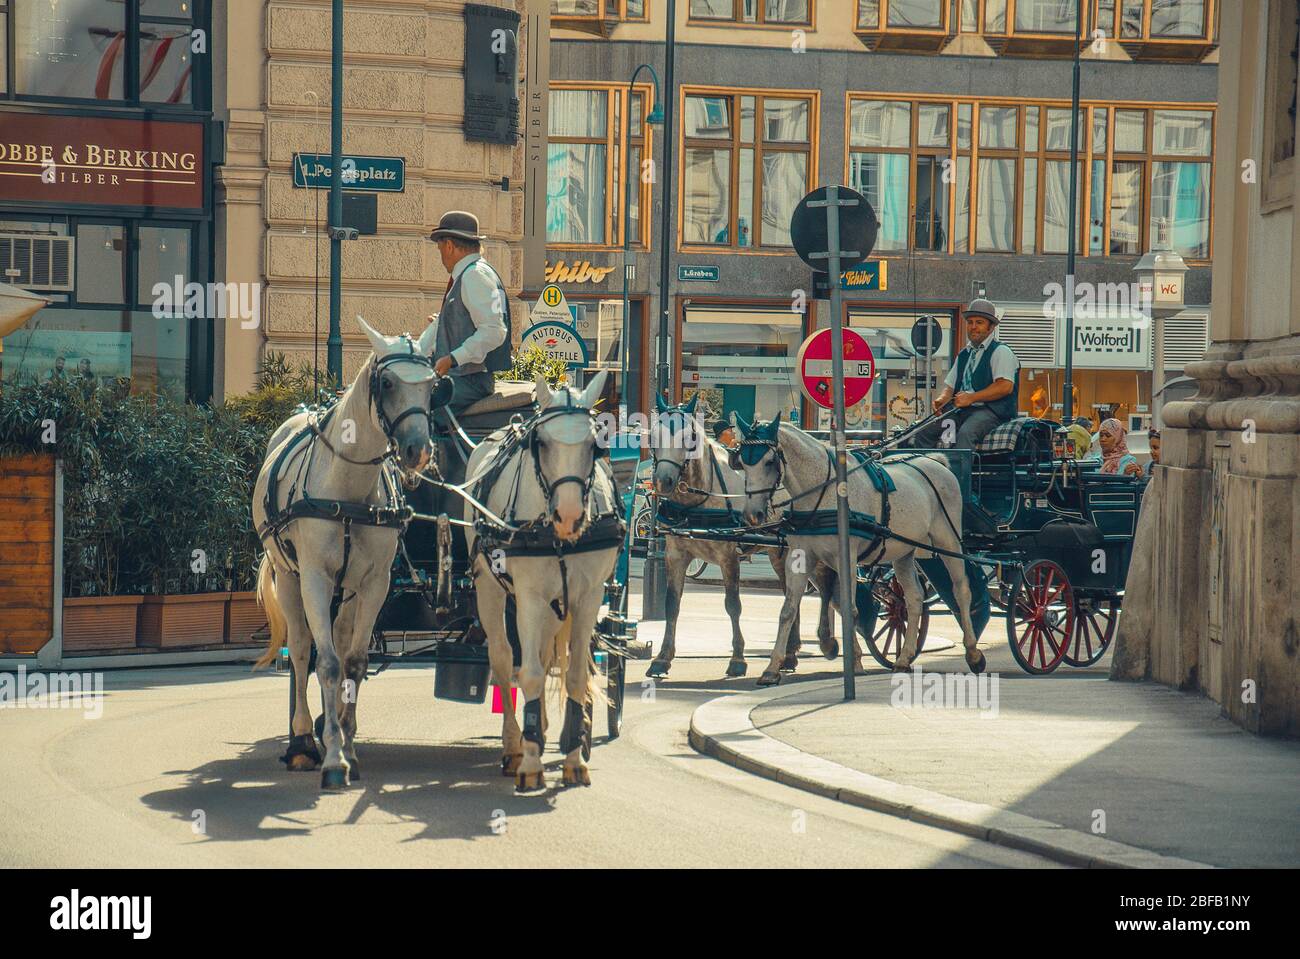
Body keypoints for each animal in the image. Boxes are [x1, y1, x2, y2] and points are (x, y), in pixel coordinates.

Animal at [253, 317, 441, 790]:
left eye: (433, 384)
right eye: (387, 382)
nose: (418, 451)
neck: (348, 492)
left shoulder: (374, 584)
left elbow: (352, 664)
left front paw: (348, 746)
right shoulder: (316, 579)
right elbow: (325, 665)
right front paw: (333, 758)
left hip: (348, 592)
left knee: (336, 640)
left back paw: (330, 722)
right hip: (290, 578)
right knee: (303, 651)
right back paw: (303, 741)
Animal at [465, 369, 621, 790]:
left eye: (595, 444)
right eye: (542, 443)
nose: (569, 516)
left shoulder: (587, 597)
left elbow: (576, 675)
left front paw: (574, 759)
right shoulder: (530, 596)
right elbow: (530, 674)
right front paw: (531, 763)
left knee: (548, 654)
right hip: (490, 588)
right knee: (505, 660)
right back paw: (515, 745)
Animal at [733, 415, 982, 686]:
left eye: (769, 461)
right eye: (742, 463)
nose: (753, 515)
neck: (822, 492)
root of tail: (936, 461)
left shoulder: (848, 558)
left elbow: (850, 608)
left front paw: (854, 663)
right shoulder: (800, 557)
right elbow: (788, 610)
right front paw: (771, 669)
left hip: (949, 541)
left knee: (961, 590)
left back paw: (973, 653)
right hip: (903, 552)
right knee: (915, 598)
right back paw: (904, 658)